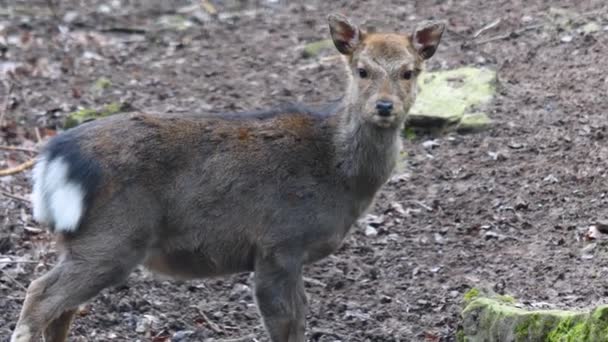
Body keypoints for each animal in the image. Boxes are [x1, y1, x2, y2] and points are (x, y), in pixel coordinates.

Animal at [11, 13, 444, 342]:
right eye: (362, 70)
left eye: (409, 72)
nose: (384, 106)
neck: (339, 175)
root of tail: (54, 157)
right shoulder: (279, 242)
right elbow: (286, 323)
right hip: (112, 237)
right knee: (40, 295)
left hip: (83, 241)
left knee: (62, 308)